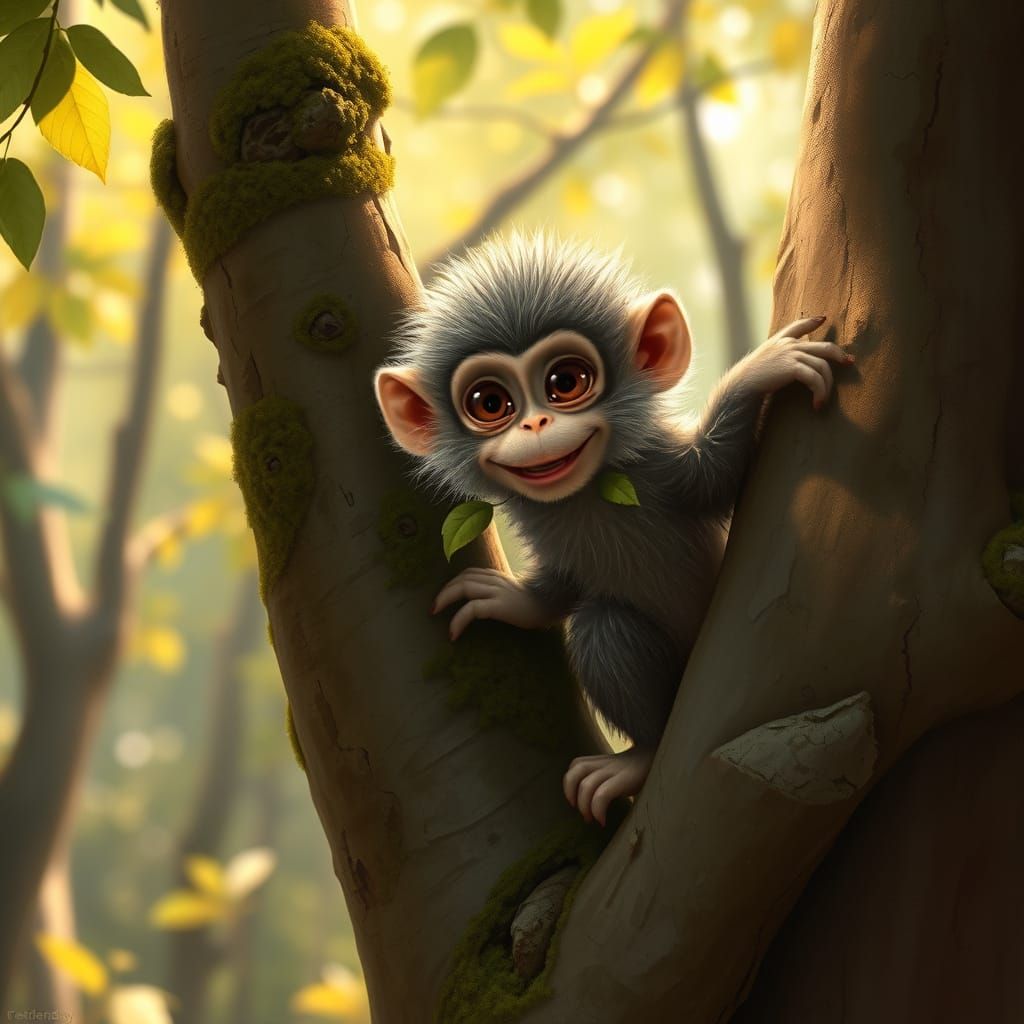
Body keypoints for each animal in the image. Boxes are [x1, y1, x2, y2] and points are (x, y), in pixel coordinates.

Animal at [373, 233, 853, 827]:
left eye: (565, 382)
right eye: (490, 403)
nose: (535, 424)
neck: (582, 497)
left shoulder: (661, 469)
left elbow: (714, 477)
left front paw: (759, 370)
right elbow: (563, 581)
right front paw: (511, 600)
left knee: (602, 629)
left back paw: (638, 760)